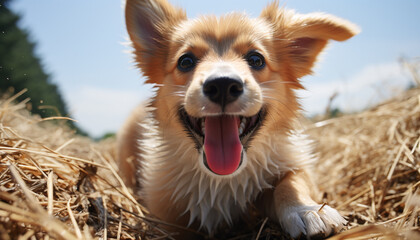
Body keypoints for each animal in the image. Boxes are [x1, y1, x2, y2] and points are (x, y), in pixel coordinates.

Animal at [117, 0, 358, 238]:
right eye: (185, 61)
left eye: (256, 59)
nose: (222, 85)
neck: (223, 180)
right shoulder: (167, 214)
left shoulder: (293, 164)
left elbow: (291, 183)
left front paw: (307, 210)